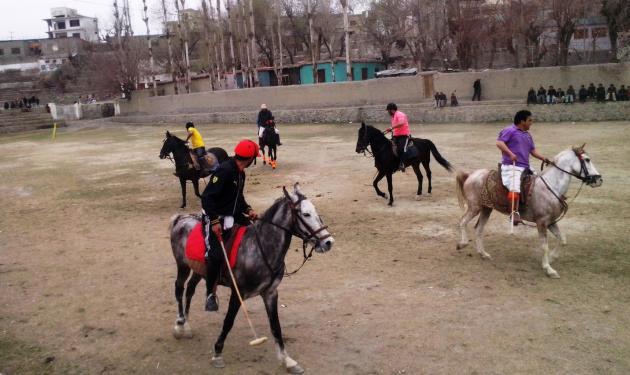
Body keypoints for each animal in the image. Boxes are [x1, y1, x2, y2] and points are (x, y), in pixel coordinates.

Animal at [168, 184, 336, 374]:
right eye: (306, 214)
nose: (328, 242)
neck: (261, 248)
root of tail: (181, 218)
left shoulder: (270, 293)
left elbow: (276, 326)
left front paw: (287, 360)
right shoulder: (238, 293)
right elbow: (228, 322)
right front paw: (217, 353)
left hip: (199, 270)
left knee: (190, 289)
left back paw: (187, 325)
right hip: (183, 265)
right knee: (179, 288)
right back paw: (179, 324)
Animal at [456, 145, 604, 278]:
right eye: (587, 160)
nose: (599, 180)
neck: (552, 187)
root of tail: (470, 175)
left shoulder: (551, 222)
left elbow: (562, 239)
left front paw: (552, 258)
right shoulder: (542, 222)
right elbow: (544, 246)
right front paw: (548, 269)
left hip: (486, 209)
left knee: (479, 229)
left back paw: (483, 254)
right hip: (474, 207)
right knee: (462, 221)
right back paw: (462, 244)